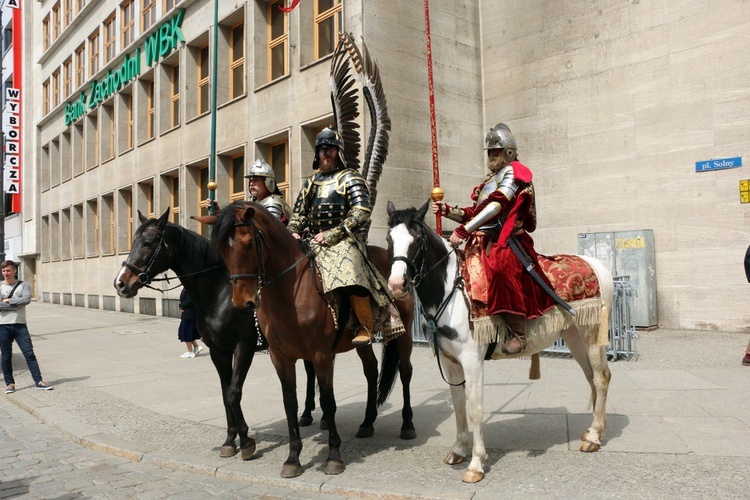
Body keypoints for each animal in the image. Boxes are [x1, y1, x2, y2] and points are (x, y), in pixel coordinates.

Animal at [114, 207, 328, 460]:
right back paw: (307, 414)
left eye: (147, 243)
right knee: (311, 371)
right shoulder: (219, 351)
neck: (219, 294)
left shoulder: (244, 347)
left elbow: (234, 392)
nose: (121, 283)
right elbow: (225, 395)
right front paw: (229, 440)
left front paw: (246, 441)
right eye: (134, 241)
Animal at [200, 201, 420, 478]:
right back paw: (367, 422)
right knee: (371, 371)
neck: (290, 292)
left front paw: (334, 457)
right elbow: (289, 402)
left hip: (406, 332)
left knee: (405, 371)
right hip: (362, 343)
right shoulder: (280, 357)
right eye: (220, 249)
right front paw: (293, 458)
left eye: (249, 244)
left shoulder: (320, 355)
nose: (242, 304)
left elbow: (328, 400)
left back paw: (407, 425)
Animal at [384, 201, 612, 482]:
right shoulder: (450, 362)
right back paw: (594, 431)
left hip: (592, 335)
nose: (397, 285)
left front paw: (476, 464)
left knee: (600, 378)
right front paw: (458, 450)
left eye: (416, 240)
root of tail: (597, 265)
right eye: (389, 239)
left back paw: (594, 437)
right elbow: (458, 405)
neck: (451, 291)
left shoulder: (472, 360)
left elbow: (475, 408)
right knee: (591, 377)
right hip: (574, 337)